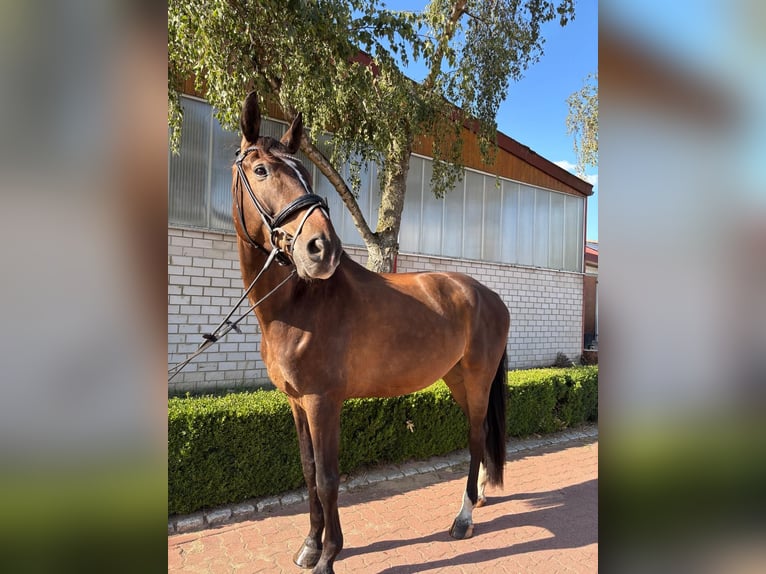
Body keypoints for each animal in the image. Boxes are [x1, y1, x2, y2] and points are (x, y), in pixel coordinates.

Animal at [231, 92, 511, 574]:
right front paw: (310, 545)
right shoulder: (296, 402)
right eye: (261, 170)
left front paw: (328, 556)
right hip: (456, 378)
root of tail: (489, 295)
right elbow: (308, 472)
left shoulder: (323, 402)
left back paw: (463, 518)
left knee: (476, 439)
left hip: (477, 379)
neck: (300, 305)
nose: (321, 249)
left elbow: (328, 478)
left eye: (304, 171)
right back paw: (476, 500)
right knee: (478, 438)